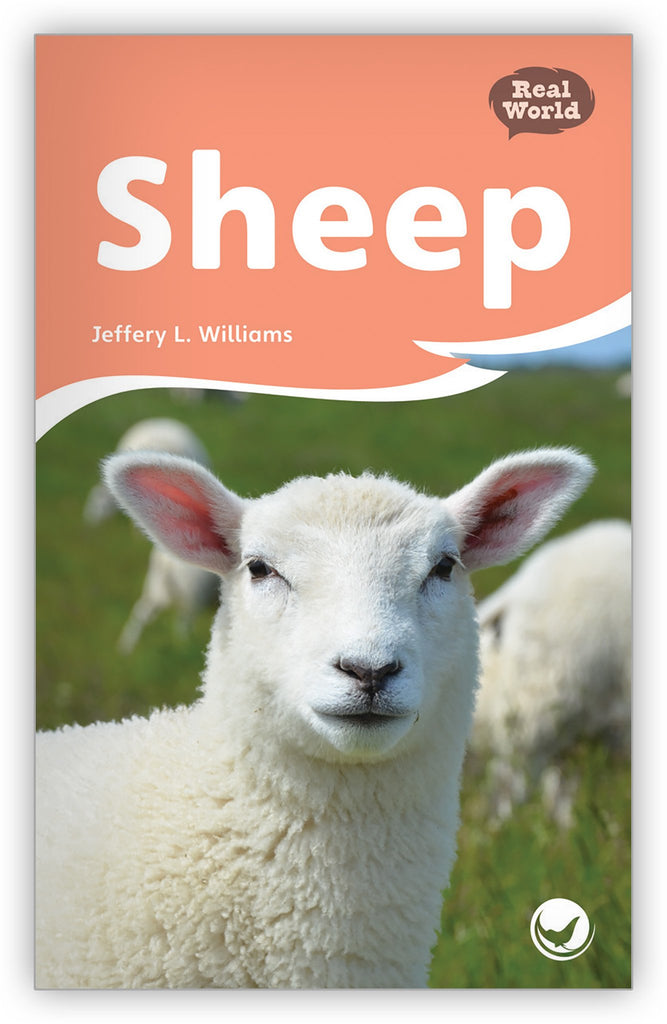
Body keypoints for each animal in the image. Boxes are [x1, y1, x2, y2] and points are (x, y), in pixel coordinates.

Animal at [82, 417, 218, 652]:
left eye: (96, 506)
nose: (87, 525)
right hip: (191, 596)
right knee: (182, 622)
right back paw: (183, 646)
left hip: (158, 590)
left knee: (142, 613)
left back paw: (126, 647)